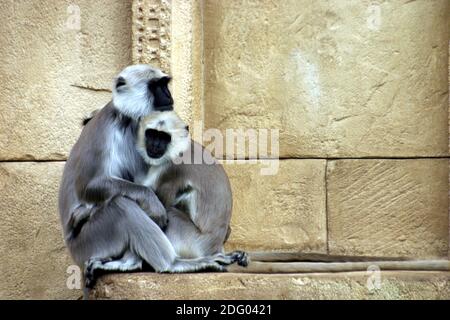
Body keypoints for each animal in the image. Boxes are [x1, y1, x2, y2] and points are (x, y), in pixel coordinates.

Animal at [135, 111, 248, 264]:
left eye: (164, 137)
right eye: (151, 134)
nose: (155, 145)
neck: (181, 148)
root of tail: (215, 248)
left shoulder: (171, 168)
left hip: (192, 240)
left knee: (169, 212)